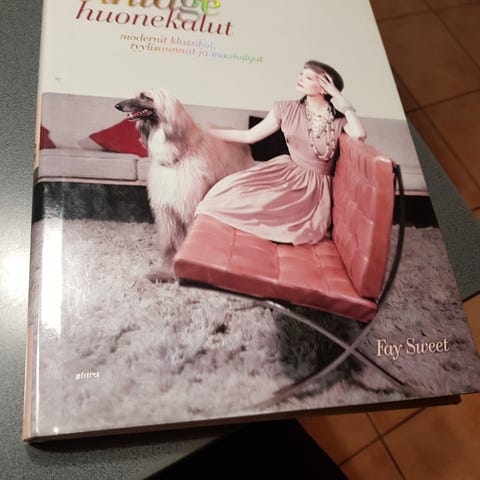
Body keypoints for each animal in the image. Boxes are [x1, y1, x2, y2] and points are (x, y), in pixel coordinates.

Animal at [115, 89, 253, 281]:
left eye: (144, 96)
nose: (117, 105)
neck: (176, 152)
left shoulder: (189, 205)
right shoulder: (166, 209)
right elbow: (169, 244)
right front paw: (165, 272)